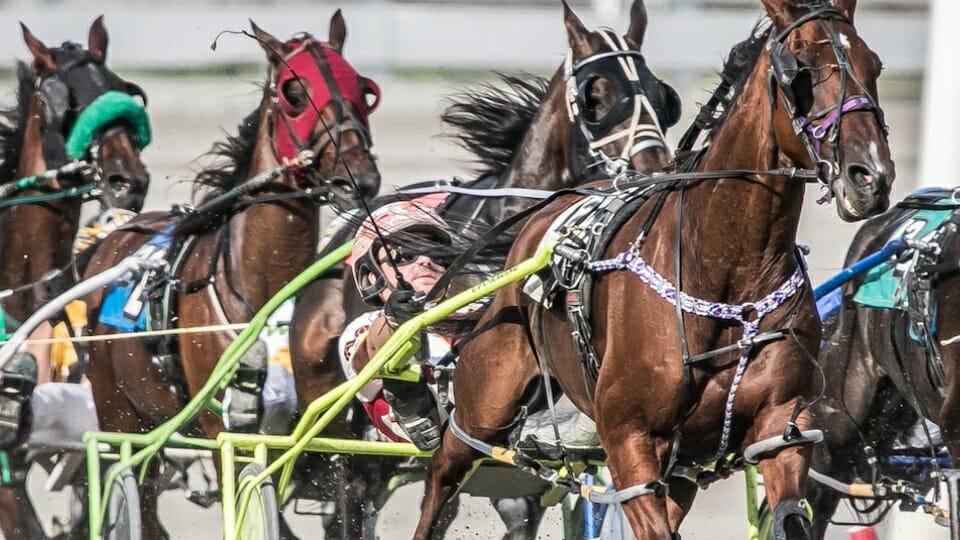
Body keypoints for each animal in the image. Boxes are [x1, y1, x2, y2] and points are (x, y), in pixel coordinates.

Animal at [81, 12, 381, 538]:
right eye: (294, 93)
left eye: (363, 90)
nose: (357, 177)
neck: (260, 292)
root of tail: (116, 238)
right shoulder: (225, 431)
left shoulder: (328, 428)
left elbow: (346, 498)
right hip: (119, 411)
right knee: (138, 490)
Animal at [414, 0, 894, 538]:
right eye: (800, 72)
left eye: (874, 65)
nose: (870, 176)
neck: (727, 276)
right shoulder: (630, 440)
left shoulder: (781, 426)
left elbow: (791, 511)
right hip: (486, 398)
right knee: (444, 473)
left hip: (681, 468)